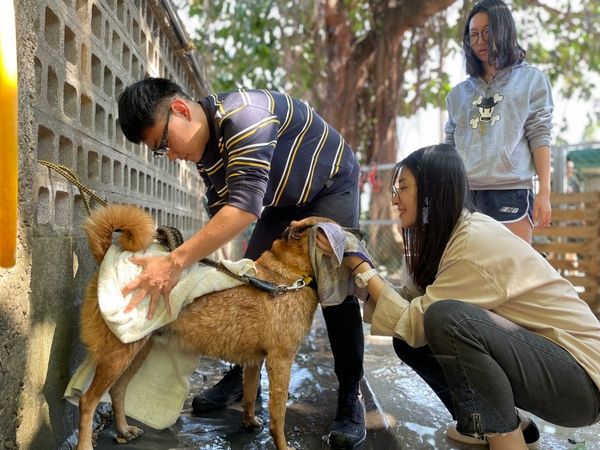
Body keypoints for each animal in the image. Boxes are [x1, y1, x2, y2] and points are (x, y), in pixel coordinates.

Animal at [75, 204, 330, 450]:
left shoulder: (254, 361)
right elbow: (278, 417)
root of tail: (107, 254)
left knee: (117, 391)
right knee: (87, 401)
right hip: (118, 354)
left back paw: (123, 430)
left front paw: (249, 422)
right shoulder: (281, 361)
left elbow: (249, 395)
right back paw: (86, 443)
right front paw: (283, 445)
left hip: (135, 351)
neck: (287, 276)